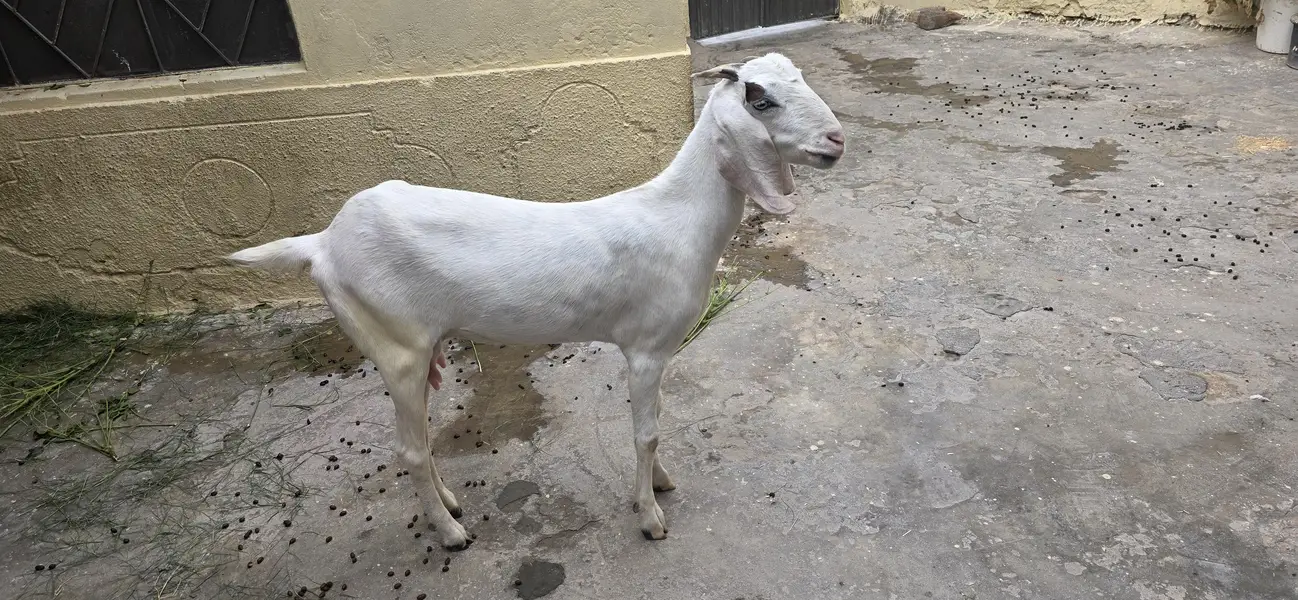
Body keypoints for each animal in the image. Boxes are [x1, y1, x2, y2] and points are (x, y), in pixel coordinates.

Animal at [226, 53, 845, 550]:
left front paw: (661, 482)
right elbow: (645, 433)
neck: (676, 218)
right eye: (759, 98)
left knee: (419, 441)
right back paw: (451, 532)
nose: (836, 140)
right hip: (395, 346)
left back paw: (449, 503)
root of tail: (321, 244)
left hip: (415, 350)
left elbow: (657, 423)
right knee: (408, 450)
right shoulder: (645, 350)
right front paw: (650, 516)